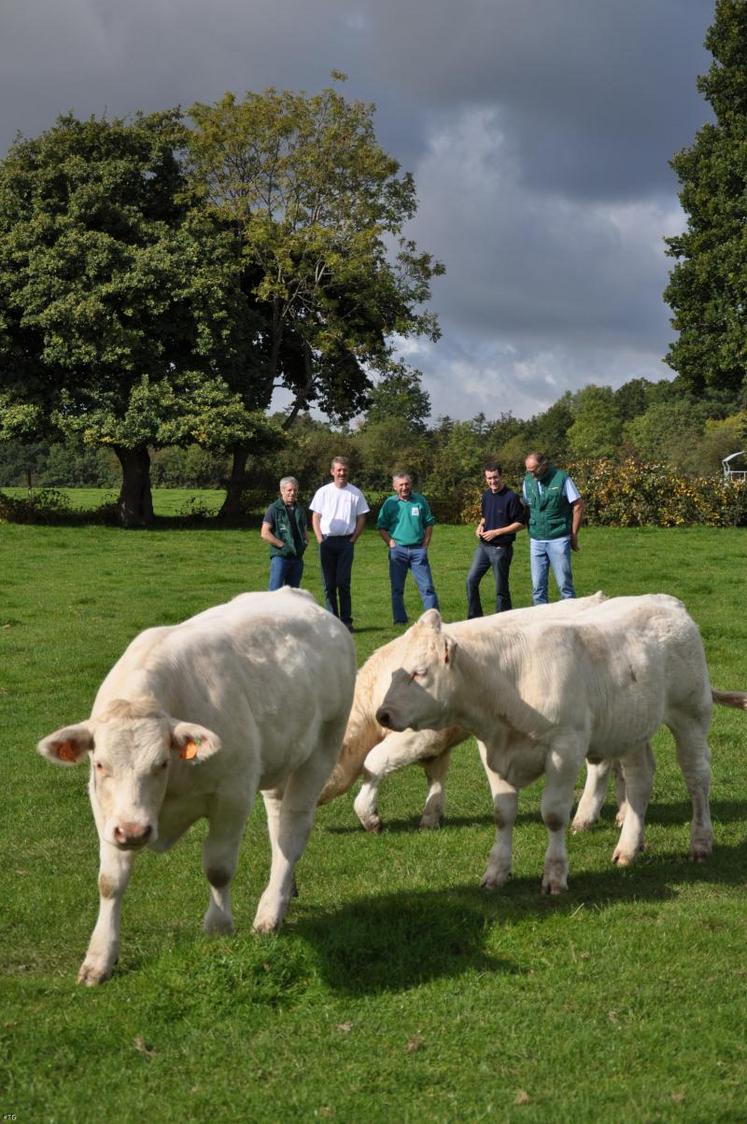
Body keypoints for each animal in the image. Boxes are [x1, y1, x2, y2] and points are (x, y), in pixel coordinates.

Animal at [37, 588, 354, 984]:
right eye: (99, 764)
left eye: (161, 763)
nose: (134, 832)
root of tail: (299, 596)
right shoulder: (107, 810)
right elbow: (110, 881)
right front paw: (99, 958)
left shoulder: (233, 794)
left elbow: (218, 868)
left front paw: (218, 926)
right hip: (281, 759)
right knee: (278, 824)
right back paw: (285, 891)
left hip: (323, 746)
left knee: (292, 831)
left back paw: (270, 910)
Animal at [375, 597, 745, 894]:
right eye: (394, 672)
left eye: (419, 672)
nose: (383, 714)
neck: (510, 682)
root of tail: (668, 602)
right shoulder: (490, 751)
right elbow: (502, 814)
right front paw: (495, 872)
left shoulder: (565, 748)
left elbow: (553, 815)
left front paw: (554, 875)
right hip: (630, 727)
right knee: (640, 781)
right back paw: (629, 846)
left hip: (691, 714)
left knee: (697, 777)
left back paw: (700, 842)